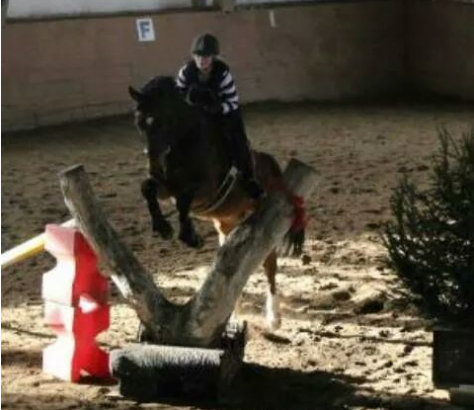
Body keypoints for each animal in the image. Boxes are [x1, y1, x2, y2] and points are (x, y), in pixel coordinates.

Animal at [128, 75, 306, 328]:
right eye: (139, 123)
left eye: (161, 121)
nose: (154, 166)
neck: (185, 141)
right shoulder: (165, 187)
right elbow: (148, 189)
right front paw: (162, 227)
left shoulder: (204, 189)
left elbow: (184, 199)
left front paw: (190, 236)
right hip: (228, 225)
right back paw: (235, 310)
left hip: (267, 222)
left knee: (269, 264)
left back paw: (274, 317)